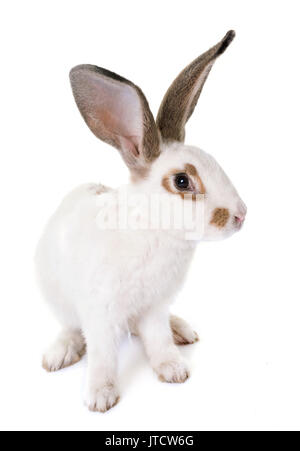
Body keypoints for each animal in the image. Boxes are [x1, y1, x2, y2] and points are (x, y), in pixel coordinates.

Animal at [35, 30, 246, 414]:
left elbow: (158, 339)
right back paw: (59, 354)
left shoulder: (155, 307)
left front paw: (174, 370)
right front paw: (100, 396)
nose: (241, 215)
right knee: (71, 327)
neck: (152, 230)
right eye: (182, 181)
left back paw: (182, 331)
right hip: (58, 297)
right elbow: (102, 355)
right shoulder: (100, 313)